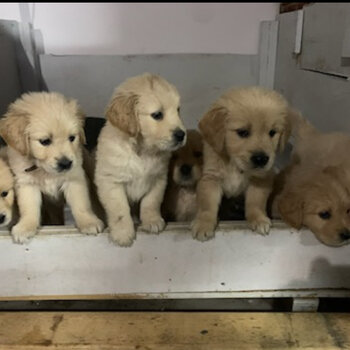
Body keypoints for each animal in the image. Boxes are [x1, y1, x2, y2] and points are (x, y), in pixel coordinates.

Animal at [0, 91, 104, 243]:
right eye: (45, 141)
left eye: (72, 138)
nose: (66, 164)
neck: (43, 170)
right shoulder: (26, 184)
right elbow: (29, 208)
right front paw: (25, 227)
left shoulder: (74, 179)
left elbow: (81, 204)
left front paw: (88, 222)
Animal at [93, 72, 186, 246]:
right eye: (157, 115)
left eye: (178, 110)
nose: (181, 134)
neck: (142, 151)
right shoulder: (111, 181)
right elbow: (120, 209)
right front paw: (123, 233)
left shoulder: (159, 179)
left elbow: (151, 201)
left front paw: (152, 221)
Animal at [191, 87, 290, 241]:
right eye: (243, 132)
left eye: (272, 132)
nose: (261, 159)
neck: (235, 165)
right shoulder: (211, 178)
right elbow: (207, 204)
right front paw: (203, 223)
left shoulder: (261, 179)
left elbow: (256, 202)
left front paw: (258, 219)